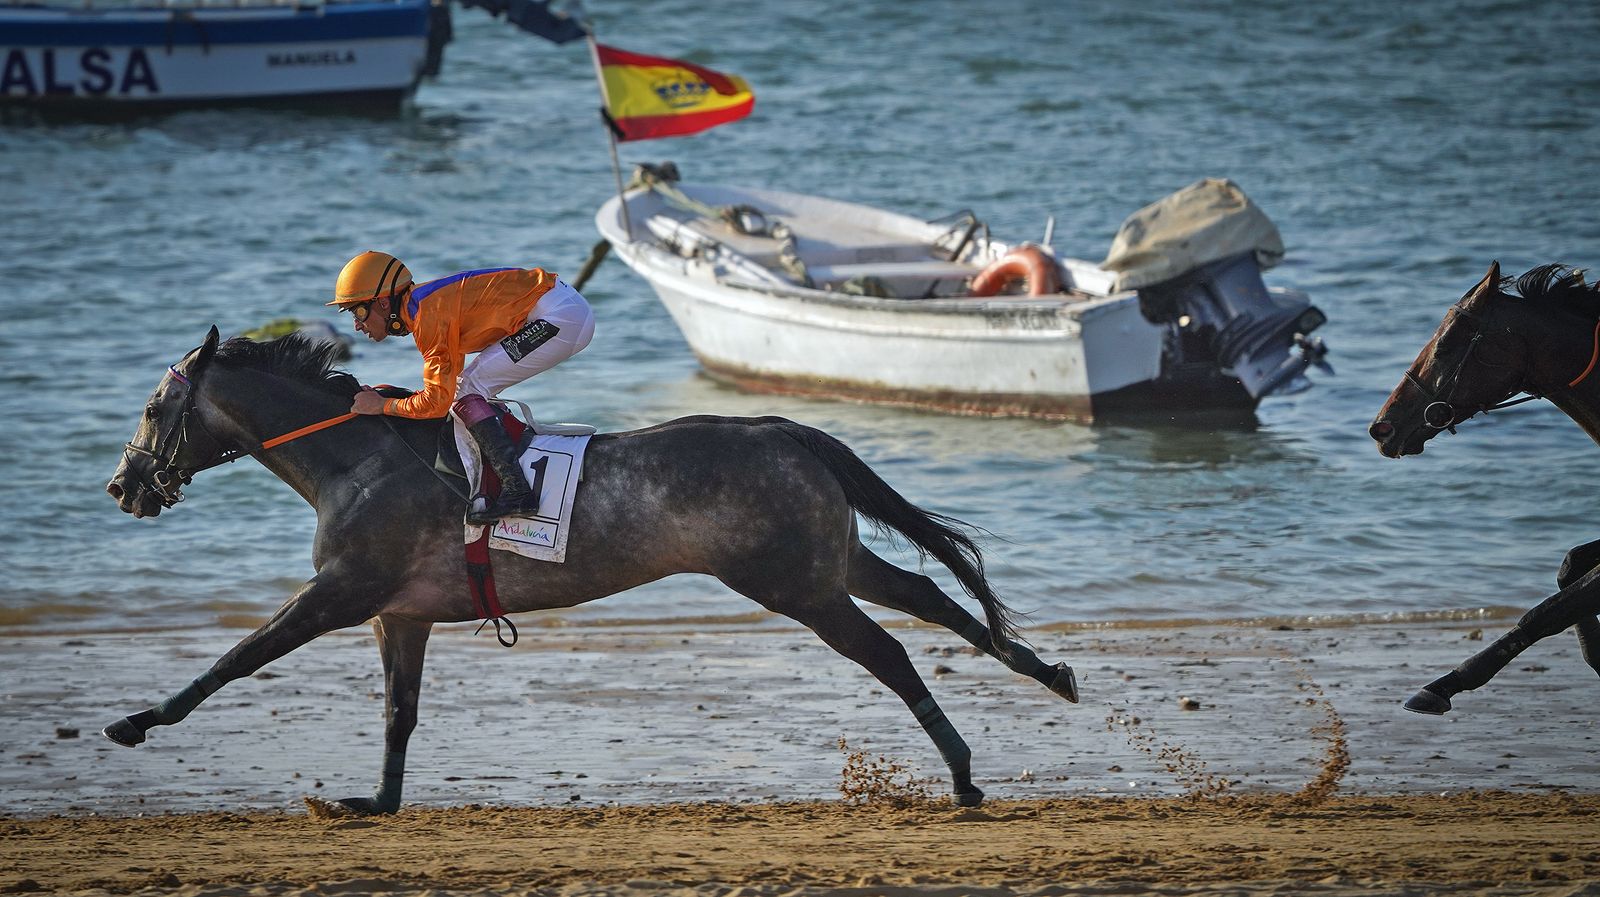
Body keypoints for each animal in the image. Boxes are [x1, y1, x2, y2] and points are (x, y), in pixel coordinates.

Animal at [104, 326, 1080, 813]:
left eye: (153, 408)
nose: (123, 485)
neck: (357, 459)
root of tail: (783, 426)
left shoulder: (342, 592)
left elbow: (239, 656)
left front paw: (138, 720)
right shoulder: (401, 613)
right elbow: (398, 714)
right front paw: (375, 800)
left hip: (794, 584)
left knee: (892, 651)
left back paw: (963, 770)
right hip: (831, 559)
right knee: (930, 597)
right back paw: (1047, 673)